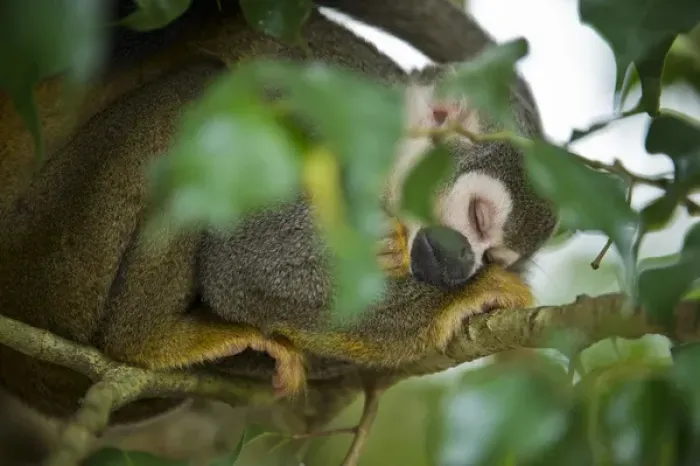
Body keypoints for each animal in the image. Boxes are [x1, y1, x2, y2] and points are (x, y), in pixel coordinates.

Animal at [0, 0, 555, 433]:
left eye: (494, 252)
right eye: (478, 217)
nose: (464, 265)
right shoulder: (333, 128)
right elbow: (245, 268)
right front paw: (468, 298)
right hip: (53, 259)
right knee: (195, 92)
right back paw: (146, 337)